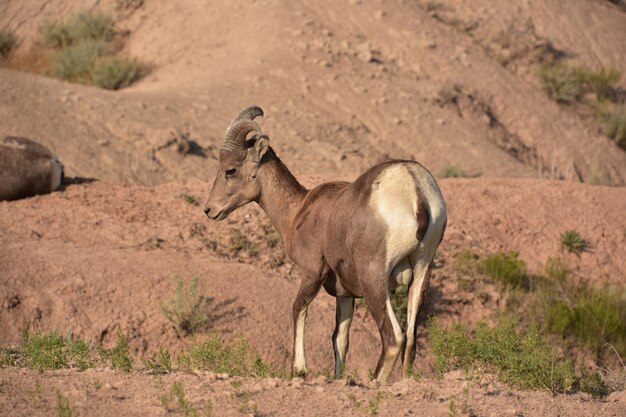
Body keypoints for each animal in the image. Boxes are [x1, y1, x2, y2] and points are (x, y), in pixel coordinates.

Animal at [204, 106, 444, 380]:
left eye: (230, 170)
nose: (210, 210)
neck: (299, 210)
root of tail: (414, 189)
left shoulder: (312, 273)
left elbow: (297, 308)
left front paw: (299, 370)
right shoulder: (345, 294)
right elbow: (339, 339)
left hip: (374, 279)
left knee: (393, 337)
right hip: (422, 271)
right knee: (411, 338)